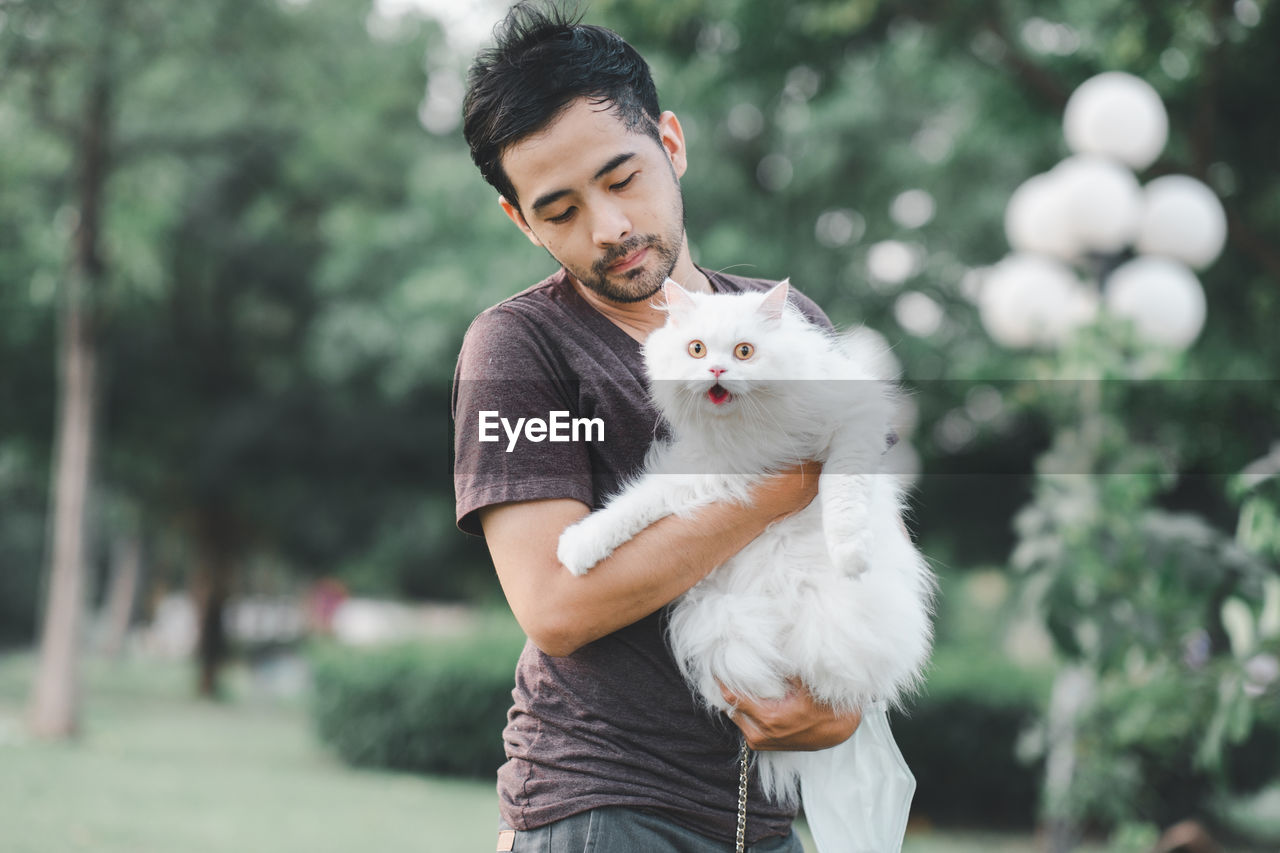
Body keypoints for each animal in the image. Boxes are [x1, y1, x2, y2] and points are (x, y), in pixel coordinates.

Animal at [555, 279, 936, 850]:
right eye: (696, 349)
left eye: (744, 351)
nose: (716, 371)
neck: (750, 432)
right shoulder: (708, 473)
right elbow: (630, 509)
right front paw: (578, 548)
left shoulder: (853, 424)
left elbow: (841, 490)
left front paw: (849, 552)